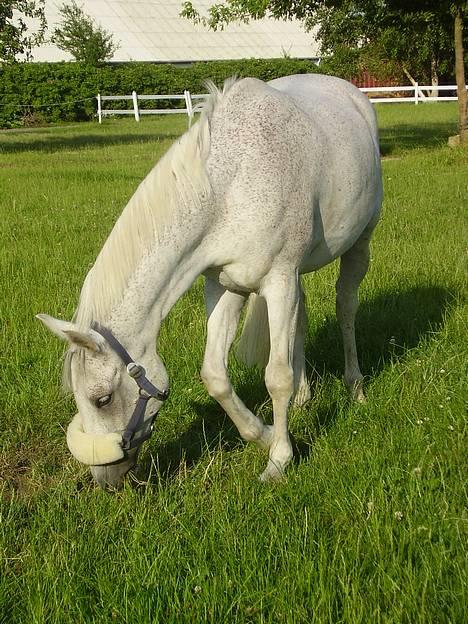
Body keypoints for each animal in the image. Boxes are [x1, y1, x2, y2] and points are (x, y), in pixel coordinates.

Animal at [36, 74, 382, 488]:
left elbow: (276, 376)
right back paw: (303, 397)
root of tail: (347, 89)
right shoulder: (226, 285)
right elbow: (215, 375)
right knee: (301, 319)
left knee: (346, 308)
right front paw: (264, 433)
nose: (105, 480)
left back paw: (355, 388)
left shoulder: (278, 280)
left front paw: (279, 460)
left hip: (359, 243)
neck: (229, 189)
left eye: (101, 399)